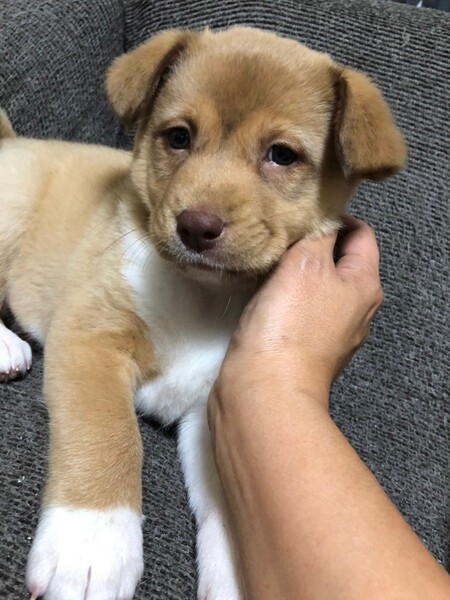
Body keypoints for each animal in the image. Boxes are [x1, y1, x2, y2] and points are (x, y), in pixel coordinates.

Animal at [0, 26, 405, 600]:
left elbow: (230, 506)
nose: (196, 226)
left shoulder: (213, 409)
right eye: (178, 137)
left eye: (281, 155)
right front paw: (93, 545)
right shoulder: (90, 337)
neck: (204, 297)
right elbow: (109, 436)